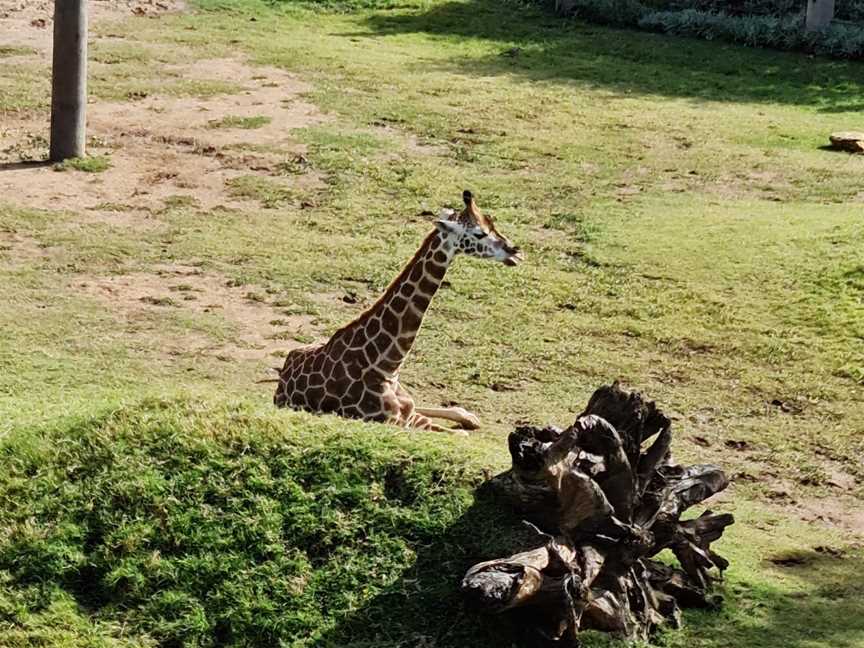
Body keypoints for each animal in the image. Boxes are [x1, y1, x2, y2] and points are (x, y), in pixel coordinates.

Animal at [274, 189, 524, 430]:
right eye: (479, 233)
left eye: (492, 223)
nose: (516, 252)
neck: (386, 366)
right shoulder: (396, 422)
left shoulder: (409, 415)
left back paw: (469, 415)